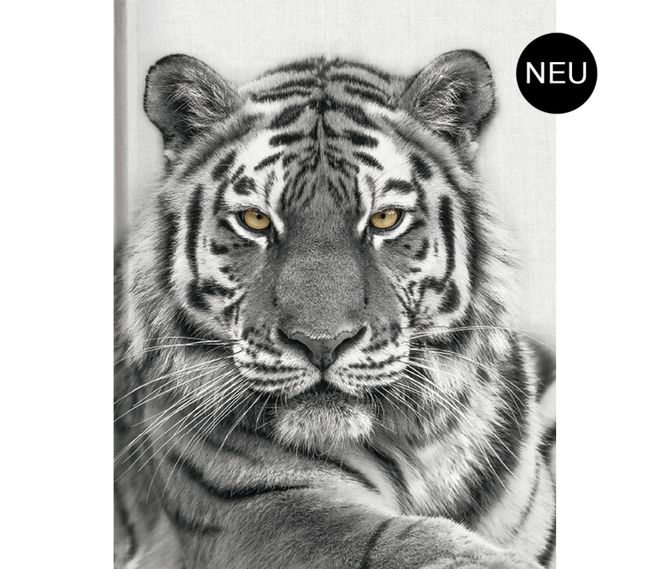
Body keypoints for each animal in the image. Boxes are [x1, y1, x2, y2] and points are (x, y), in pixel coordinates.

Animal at [114, 51, 556, 569]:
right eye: (256, 220)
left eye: (385, 218)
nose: (321, 344)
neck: (422, 449)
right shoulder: (261, 512)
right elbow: (406, 542)